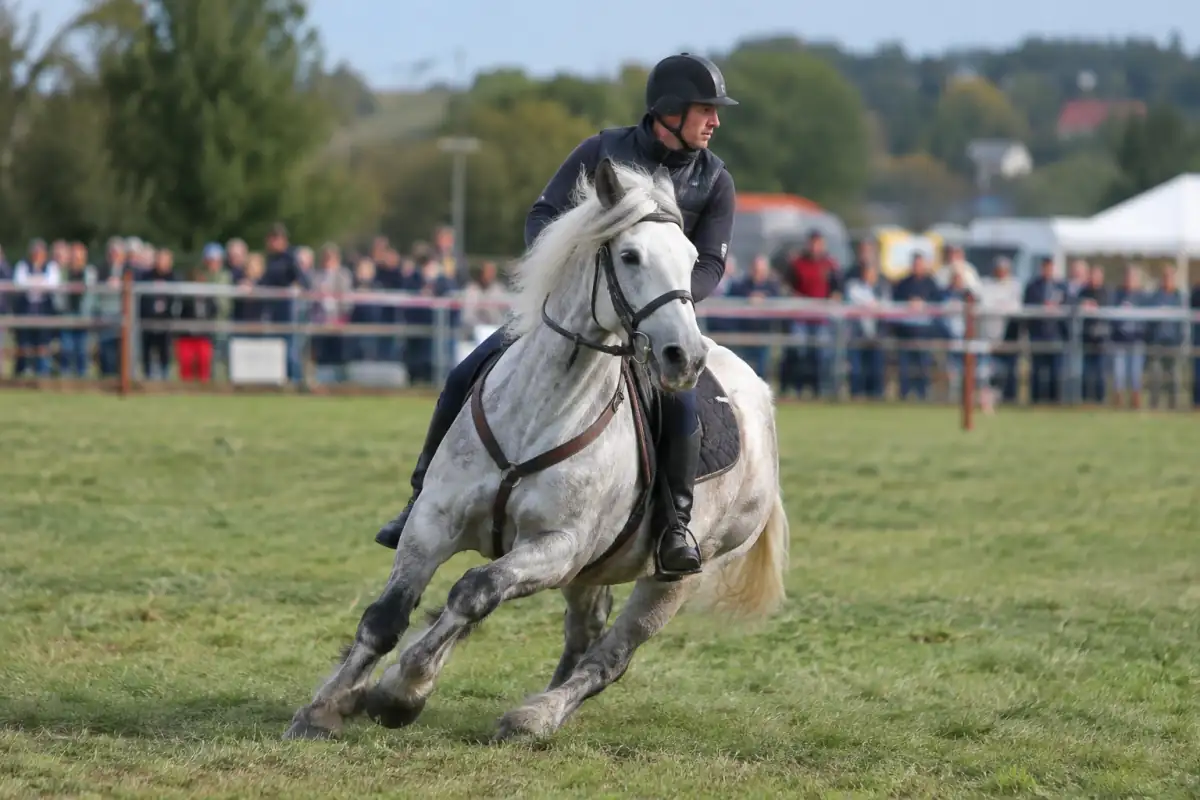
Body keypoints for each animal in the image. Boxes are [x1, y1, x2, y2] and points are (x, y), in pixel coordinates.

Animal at [283, 158, 789, 743]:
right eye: (630, 255)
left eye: (690, 260)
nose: (683, 357)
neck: (540, 411)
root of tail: (760, 397)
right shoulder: (433, 522)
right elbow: (387, 617)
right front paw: (326, 706)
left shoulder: (558, 546)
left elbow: (474, 591)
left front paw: (400, 692)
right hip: (591, 571)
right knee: (584, 634)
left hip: (673, 581)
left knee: (609, 656)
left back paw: (536, 716)